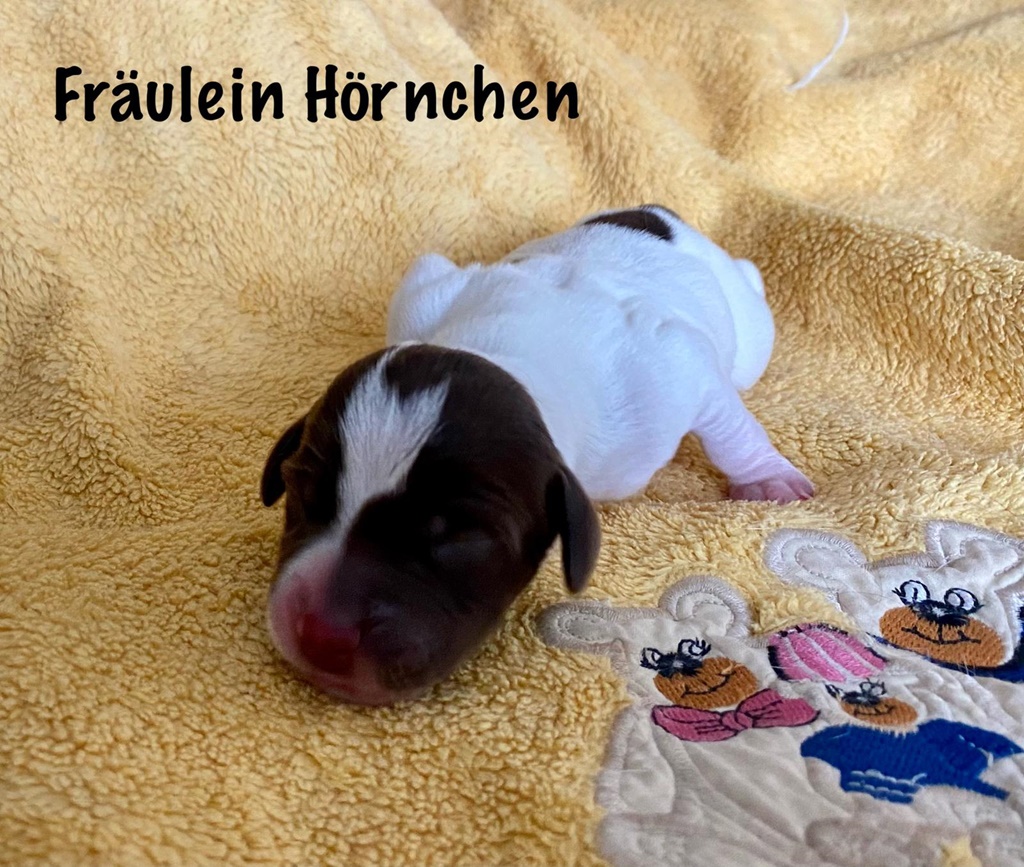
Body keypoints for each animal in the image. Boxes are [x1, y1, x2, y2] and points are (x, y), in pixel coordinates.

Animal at [260, 205, 813, 705]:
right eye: (302, 489)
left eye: (462, 536)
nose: (321, 634)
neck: (506, 351)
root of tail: (661, 213)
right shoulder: (423, 293)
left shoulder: (674, 372)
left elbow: (727, 424)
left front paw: (769, 479)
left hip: (748, 335)